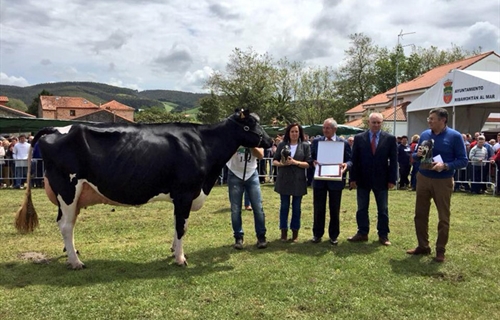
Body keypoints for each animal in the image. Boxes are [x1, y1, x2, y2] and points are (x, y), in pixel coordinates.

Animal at [15, 109, 272, 268]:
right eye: (250, 125)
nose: (269, 141)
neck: (203, 144)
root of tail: (55, 129)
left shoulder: (182, 196)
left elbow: (178, 224)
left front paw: (173, 250)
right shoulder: (185, 192)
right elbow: (182, 226)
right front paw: (180, 258)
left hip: (74, 195)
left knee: (67, 224)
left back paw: (73, 255)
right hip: (68, 188)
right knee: (66, 225)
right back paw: (77, 263)